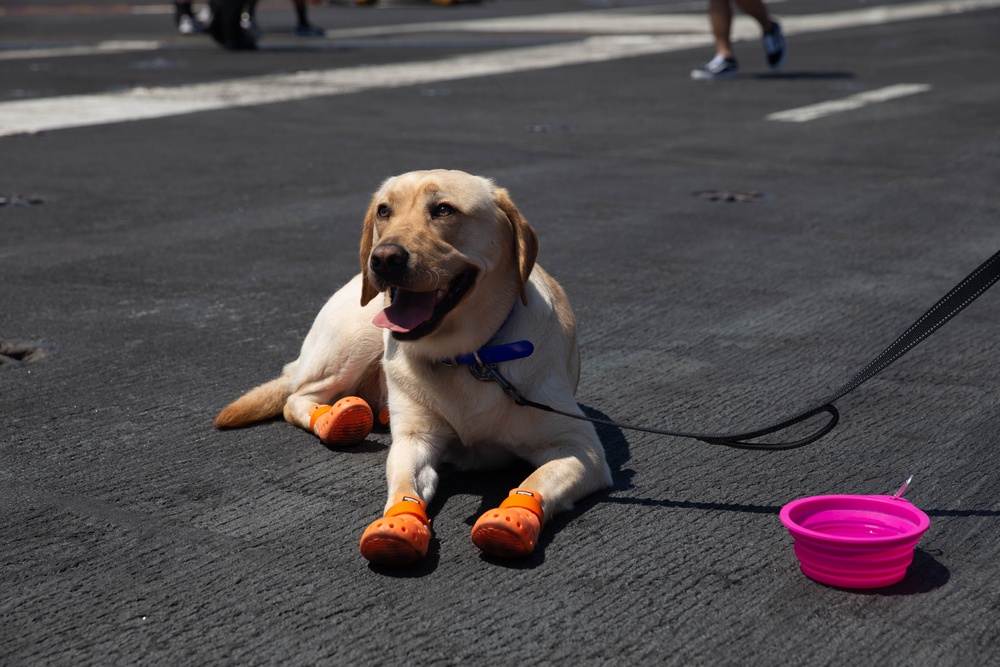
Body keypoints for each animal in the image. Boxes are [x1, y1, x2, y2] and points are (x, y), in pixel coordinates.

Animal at [215, 171, 612, 564]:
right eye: (383, 211)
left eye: (443, 210)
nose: (384, 258)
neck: (468, 357)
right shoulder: (414, 440)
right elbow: (404, 484)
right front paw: (400, 523)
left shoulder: (581, 447)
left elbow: (535, 481)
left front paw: (513, 517)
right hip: (357, 339)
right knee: (296, 396)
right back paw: (334, 419)